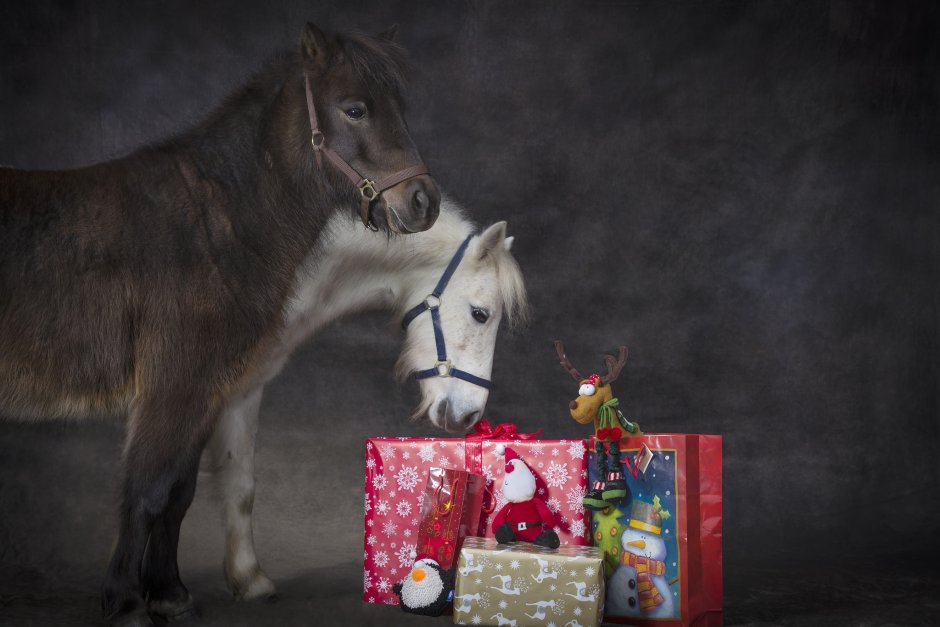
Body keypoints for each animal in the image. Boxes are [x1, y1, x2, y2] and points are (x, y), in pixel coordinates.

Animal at [0, 22, 440, 624]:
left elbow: (178, 494)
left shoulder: (206, 391)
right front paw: (126, 601)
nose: (424, 202)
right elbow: (147, 489)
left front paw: (169, 592)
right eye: (354, 109)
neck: (213, 225)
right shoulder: (173, 386)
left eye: (400, 107)